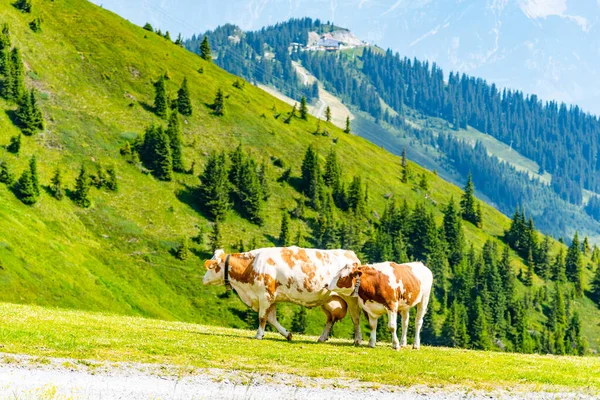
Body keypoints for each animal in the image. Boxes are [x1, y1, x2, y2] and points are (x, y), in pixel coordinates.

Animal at [202, 247, 364, 344]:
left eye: (211, 267)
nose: (203, 279)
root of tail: (351, 254)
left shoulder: (265, 296)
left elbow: (262, 318)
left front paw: (258, 335)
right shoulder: (270, 298)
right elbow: (272, 319)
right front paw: (287, 334)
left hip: (352, 299)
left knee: (356, 319)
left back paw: (357, 340)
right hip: (328, 301)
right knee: (330, 319)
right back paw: (322, 338)